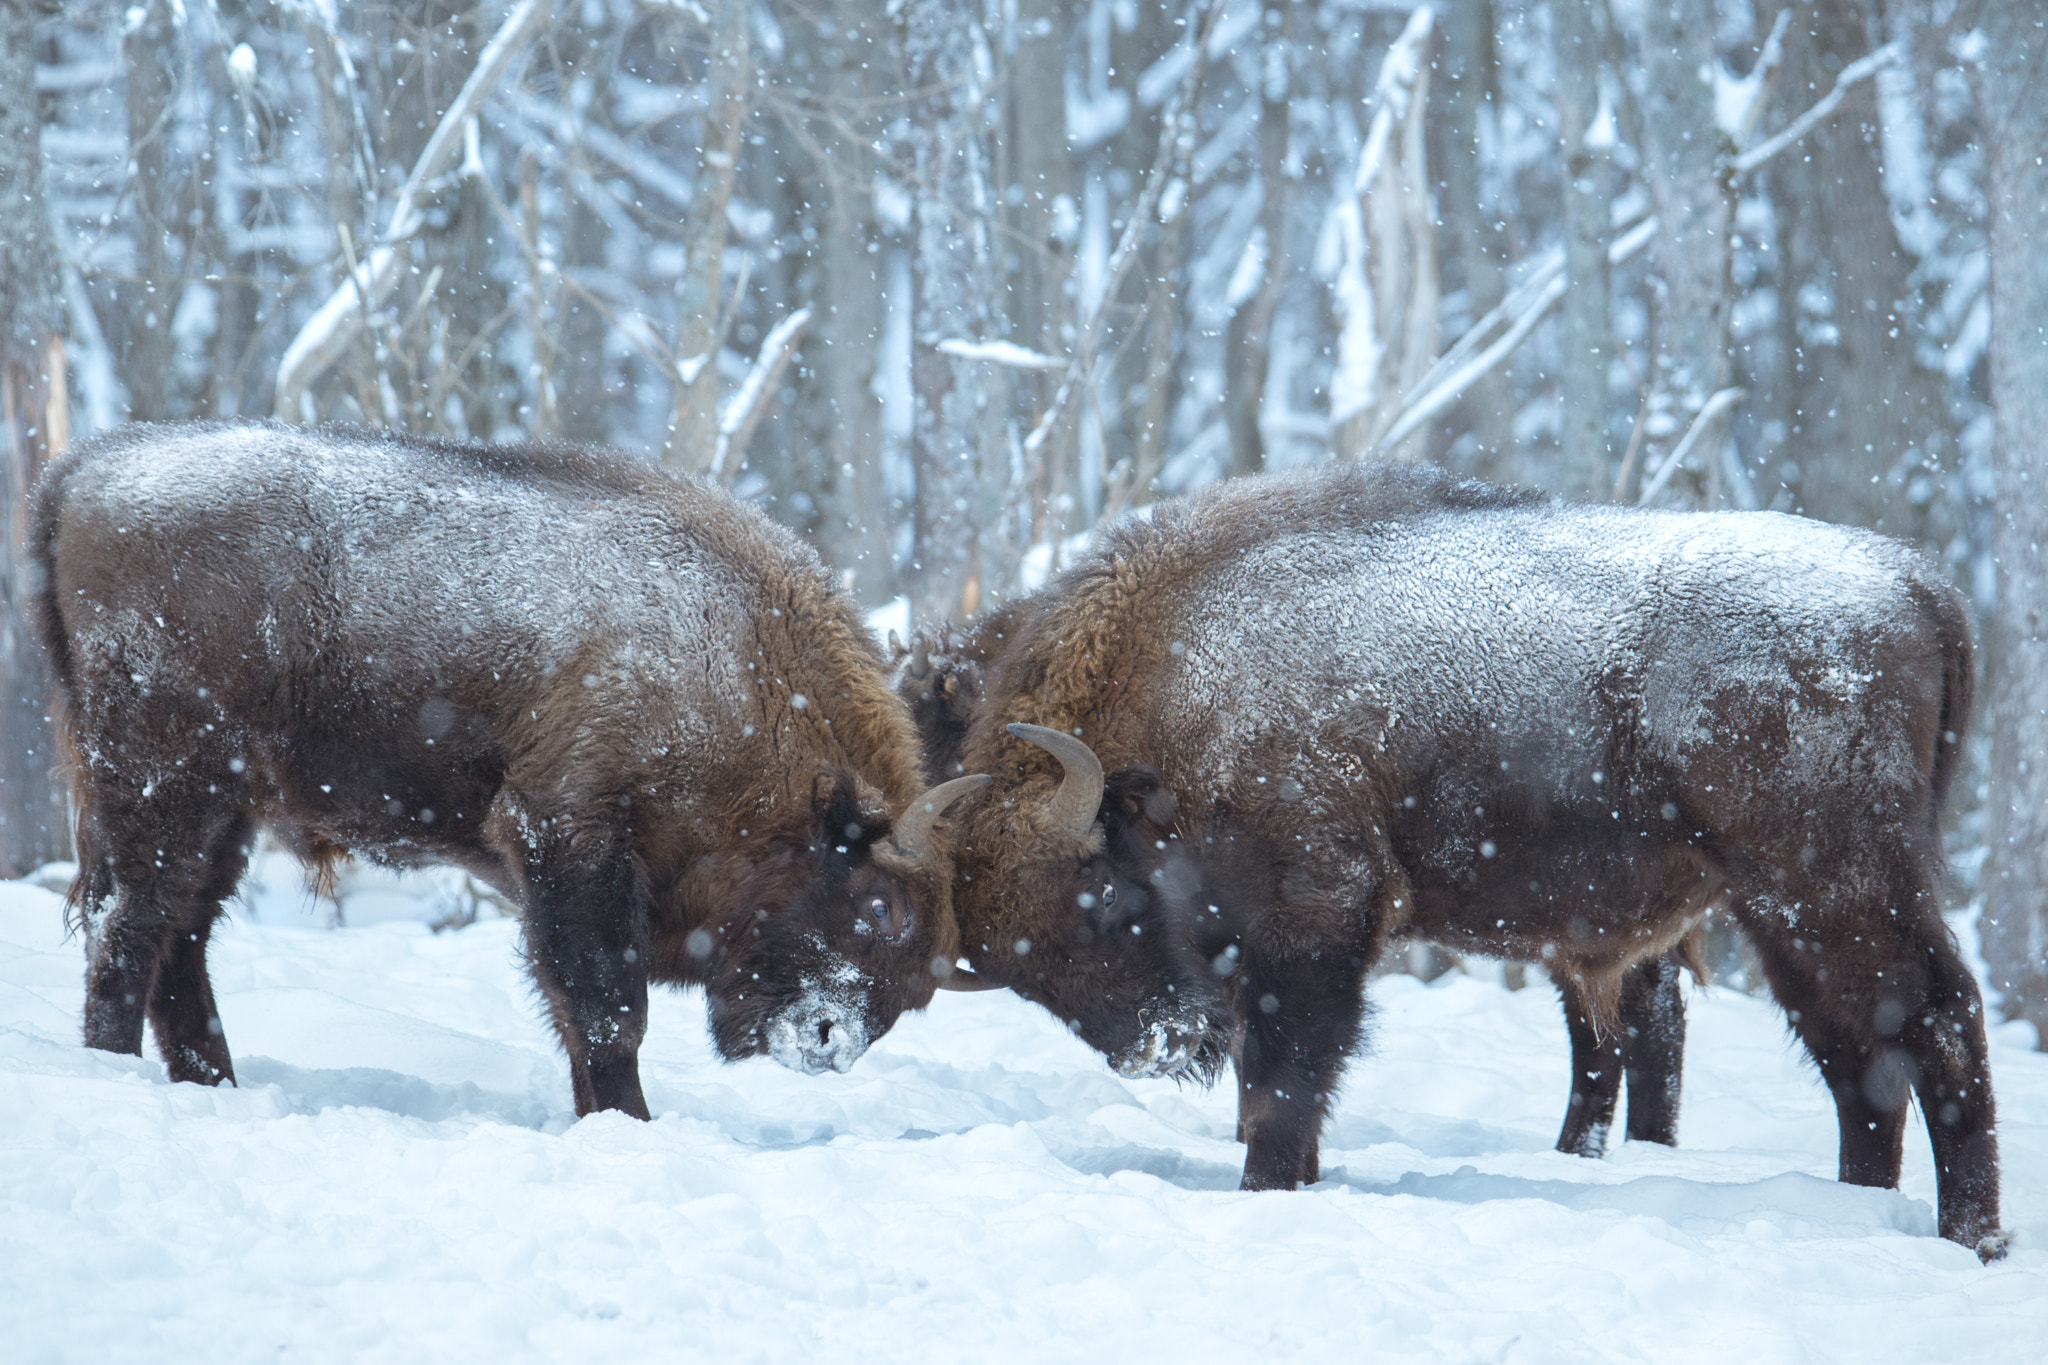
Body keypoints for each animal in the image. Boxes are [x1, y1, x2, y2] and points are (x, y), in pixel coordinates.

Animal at [29, 423, 991, 1121]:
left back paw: (214, 1084)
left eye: (922, 987)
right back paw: (119, 1073)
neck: (736, 659)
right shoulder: (569, 836)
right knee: (129, 931)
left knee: (181, 942)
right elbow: (606, 1010)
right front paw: (627, 1123)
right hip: (165, 787)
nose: (827, 1039)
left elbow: (580, 1014)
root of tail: (87, 473)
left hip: (225, 809)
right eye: (878, 907)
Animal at [937, 462, 2007, 1260]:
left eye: (1105, 902)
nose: (1156, 1048)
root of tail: (1915, 584)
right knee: (1859, 1056)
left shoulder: (1314, 923)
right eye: (1028, 976)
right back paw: (1863, 1212)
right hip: (1781, 913)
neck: (1187, 670)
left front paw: (1267, 1187)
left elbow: (1281, 1082)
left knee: (1937, 1020)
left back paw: (1973, 1239)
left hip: (1831, 886)